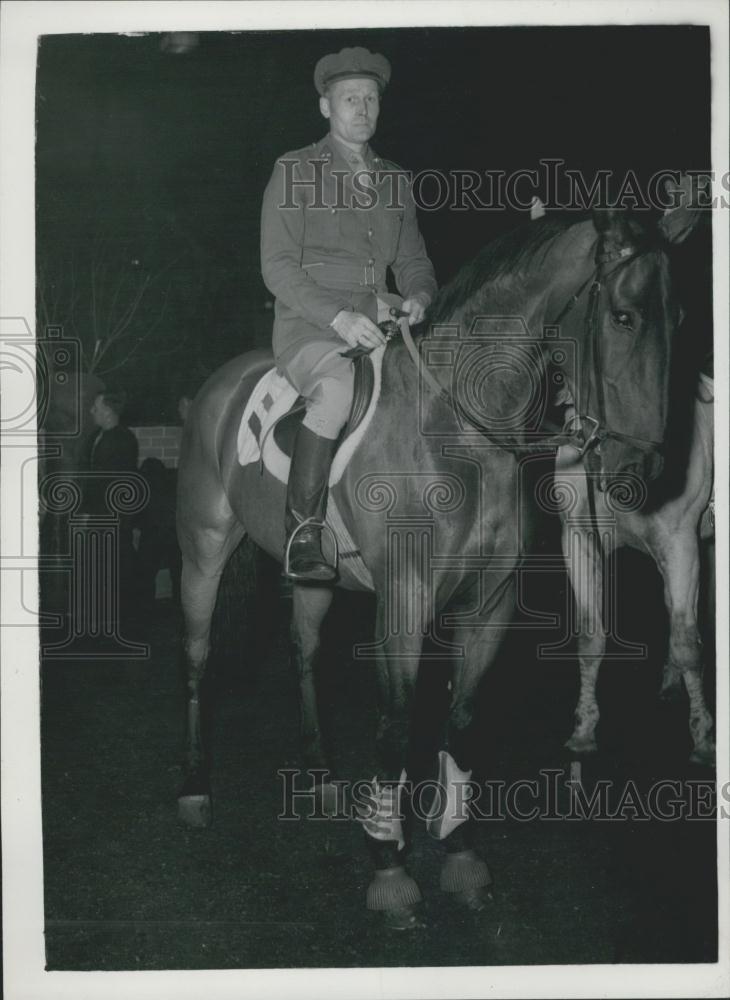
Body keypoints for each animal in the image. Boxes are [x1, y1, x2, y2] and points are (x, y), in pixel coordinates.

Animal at [176, 209, 688, 928]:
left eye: (680, 317)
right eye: (623, 317)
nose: (643, 471)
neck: (460, 430)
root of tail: (219, 385)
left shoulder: (490, 604)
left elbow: (462, 720)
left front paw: (459, 851)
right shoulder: (405, 603)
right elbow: (397, 723)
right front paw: (388, 866)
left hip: (315, 581)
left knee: (304, 652)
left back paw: (320, 777)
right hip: (202, 550)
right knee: (197, 659)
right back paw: (195, 789)